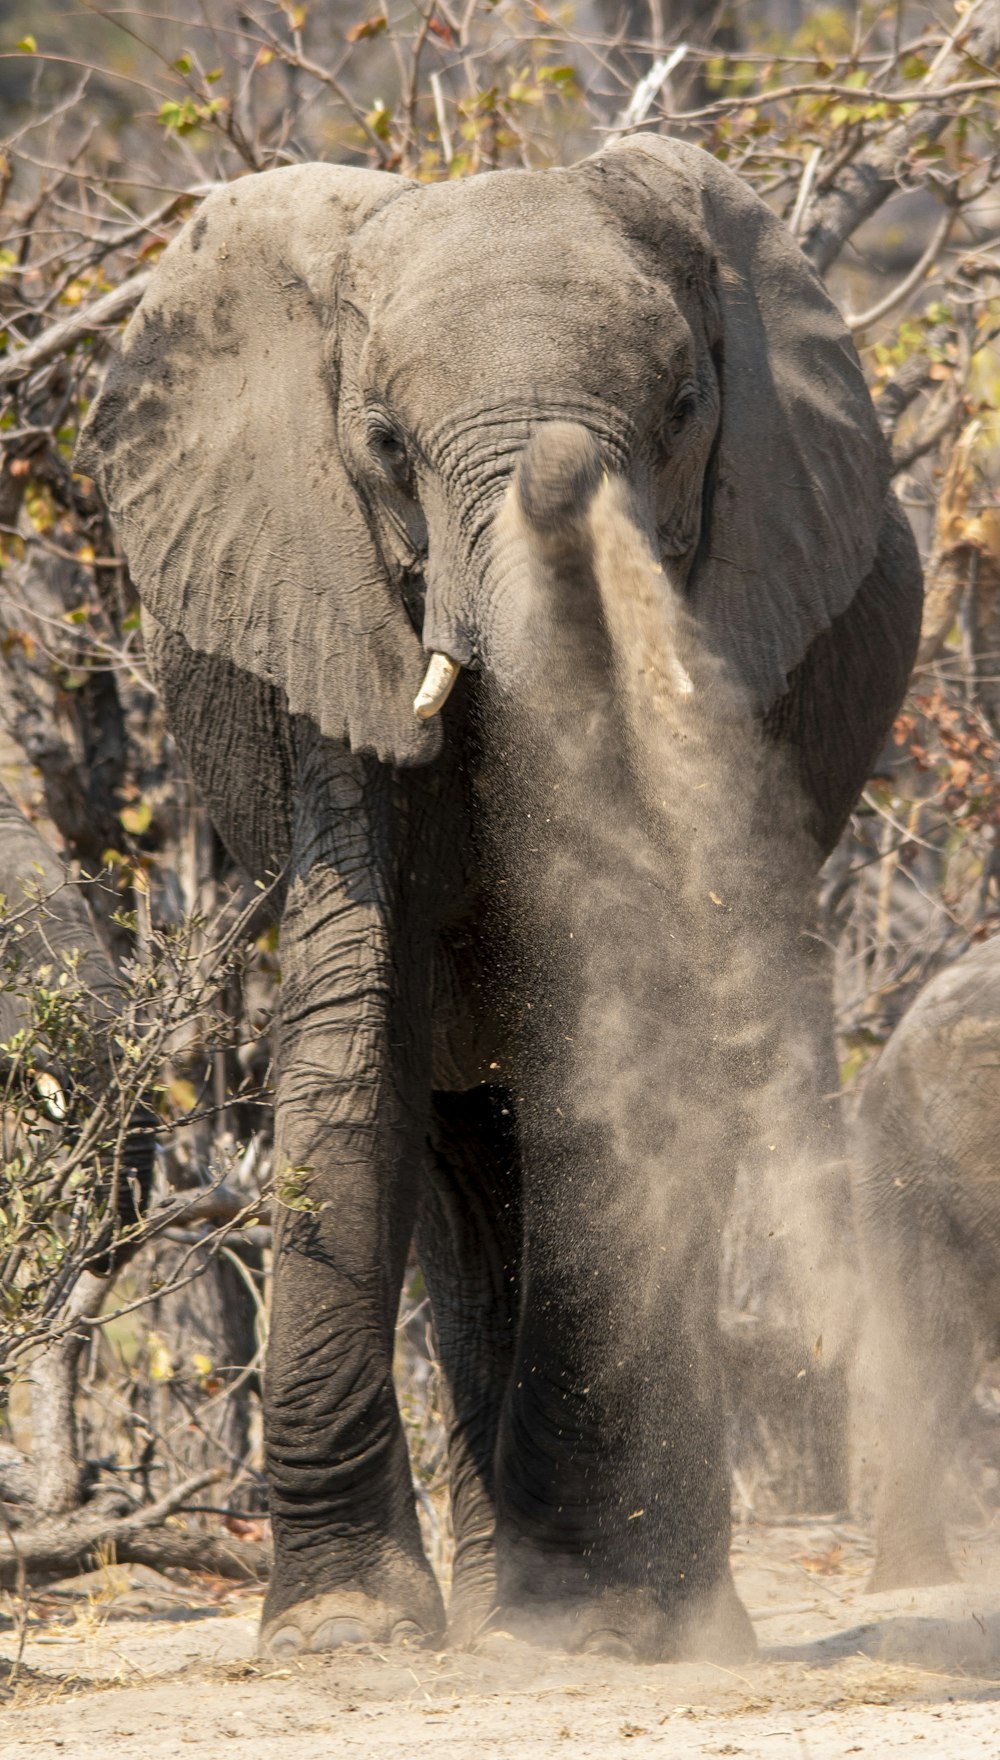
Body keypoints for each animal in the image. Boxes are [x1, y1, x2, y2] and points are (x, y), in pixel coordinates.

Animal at [76, 140, 922, 1661]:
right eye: (383, 446)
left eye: (684, 413)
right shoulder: (326, 606)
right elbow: (357, 1001)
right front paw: (345, 1635)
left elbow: (619, 1011)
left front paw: (576, 1619)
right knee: (467, 1165)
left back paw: (648, 1614)